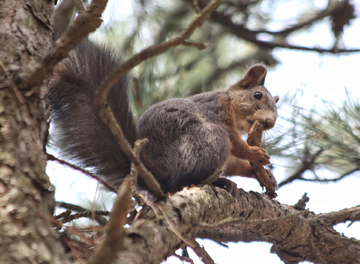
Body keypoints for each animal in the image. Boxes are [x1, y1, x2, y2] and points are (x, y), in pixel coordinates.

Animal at [48, 39, 278, 196]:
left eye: (277, 110)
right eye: (257, 95)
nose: (269, 122)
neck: (232, 105)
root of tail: (163, 173)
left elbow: (233, 164)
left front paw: (262, 174)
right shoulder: (216, 109)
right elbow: (234, 141)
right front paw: (255, 153)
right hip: (207, 141)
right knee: (184, 181)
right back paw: (221, 183)